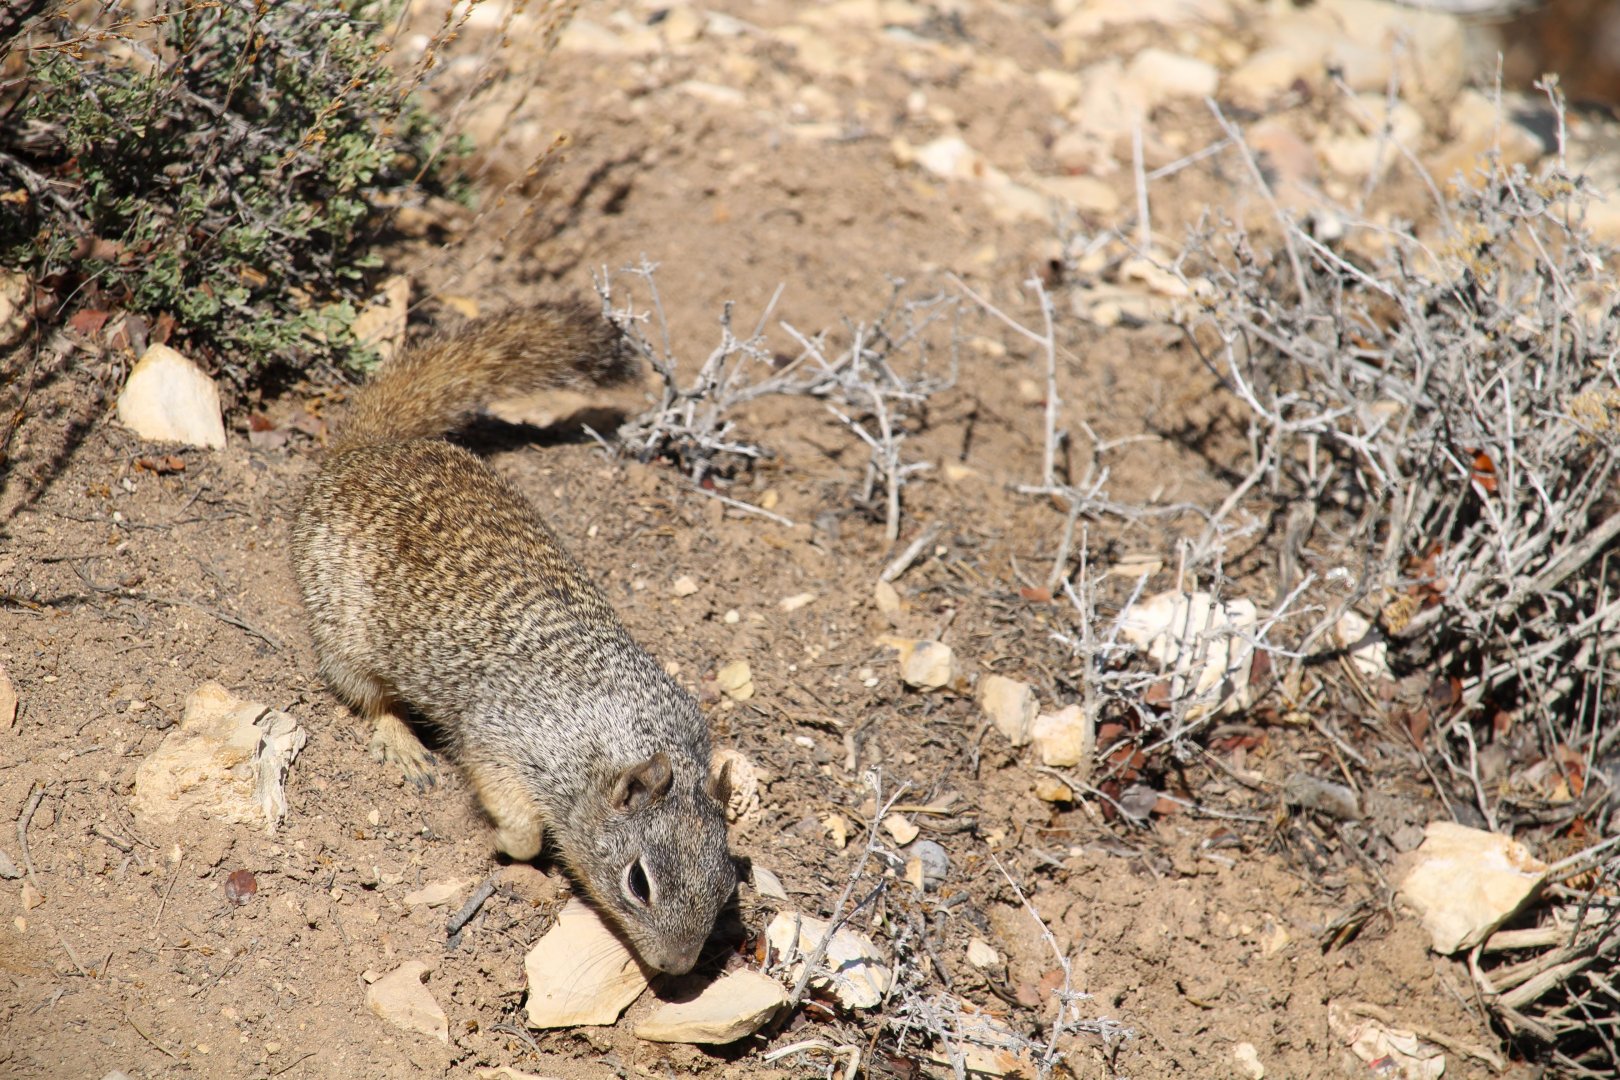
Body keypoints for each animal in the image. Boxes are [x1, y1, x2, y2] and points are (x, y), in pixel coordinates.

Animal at [290, 302, 736, 975]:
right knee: (368, 697)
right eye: (638, 883)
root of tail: (366, 450)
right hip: (343, 633)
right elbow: (521, 828)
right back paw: (402, 744)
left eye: (728, 884)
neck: (616, 742)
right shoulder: (500, 742)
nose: (679, 967)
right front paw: (506, 840)